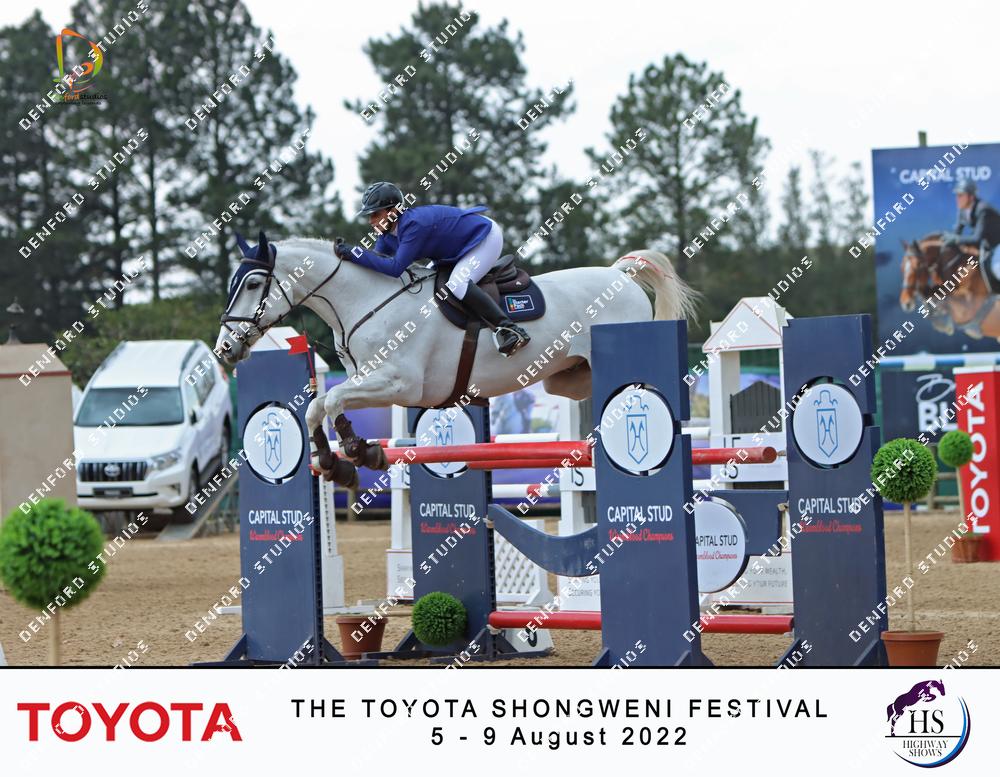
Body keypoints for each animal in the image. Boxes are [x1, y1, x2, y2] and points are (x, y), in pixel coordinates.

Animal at [215, 231, 697, 487]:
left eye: (254, 283)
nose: (224, 348)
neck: (364, 301)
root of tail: (620, 275)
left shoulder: (400, 383)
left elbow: (330, 401)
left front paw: (358, 451)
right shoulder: (367, 380)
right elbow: (316, 406)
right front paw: (335, 465)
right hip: (565, 378)